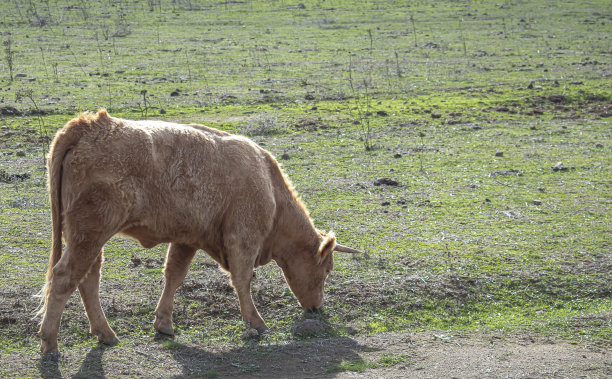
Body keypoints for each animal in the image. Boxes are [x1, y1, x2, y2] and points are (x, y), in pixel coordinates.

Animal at [35, 110, 360, 356]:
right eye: (327, 270)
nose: (316, 307)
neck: (269, 184)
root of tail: (89, 125)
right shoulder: (243, 238)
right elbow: (242, 279)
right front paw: (255, 324)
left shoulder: (186, 239)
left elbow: (174, 276)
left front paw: (164, 323)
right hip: (89, 237)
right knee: (65, 277)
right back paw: (50, 343)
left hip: (87, 240)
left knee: (88, 279)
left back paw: (105, 334)